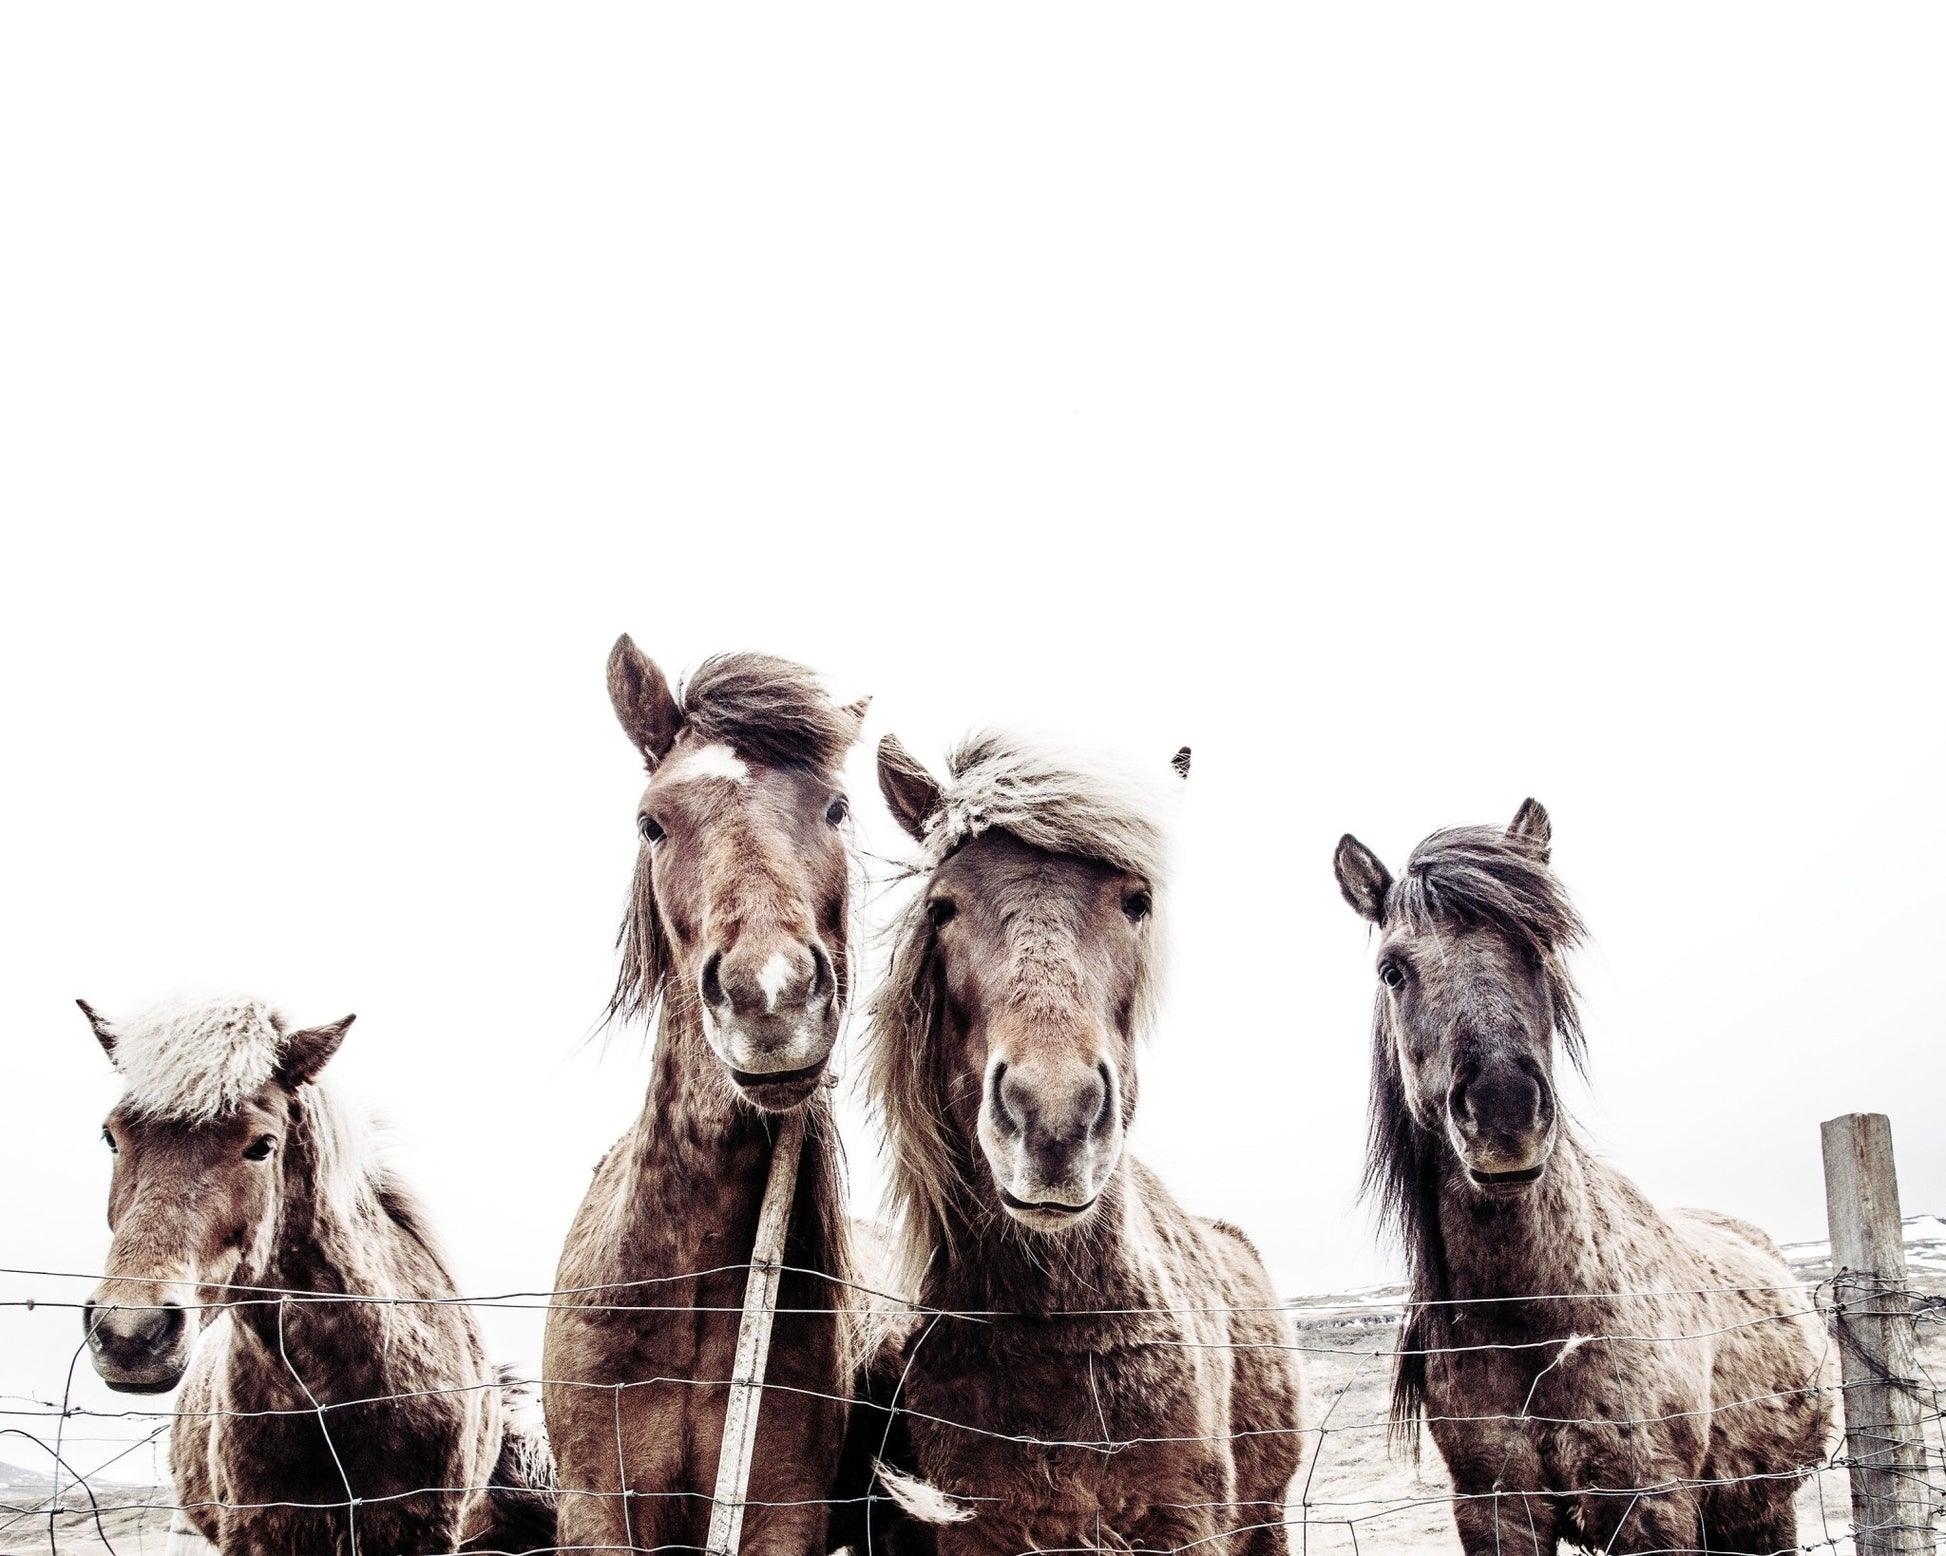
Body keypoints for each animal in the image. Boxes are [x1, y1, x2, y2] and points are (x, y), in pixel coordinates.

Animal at [1333, 800, 1832, 1555]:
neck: (1529, 1324)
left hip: (1762, 1510)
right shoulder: (1495, 1510)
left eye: (1538, 946)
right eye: (1393, 970)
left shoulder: (1652, 1508)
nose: (1504, 1113)